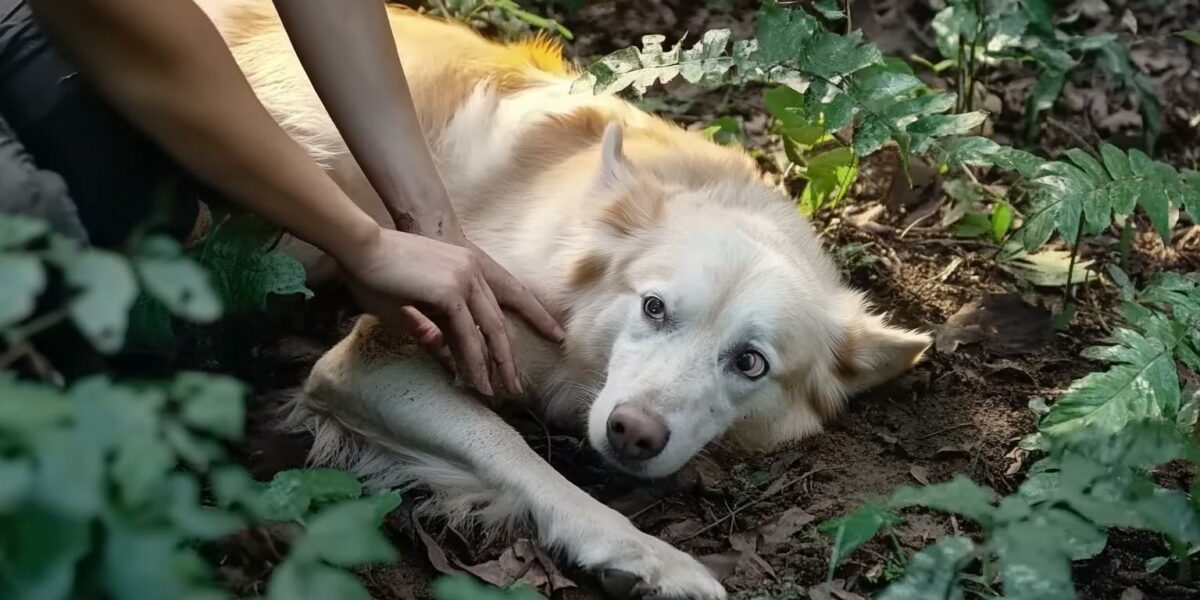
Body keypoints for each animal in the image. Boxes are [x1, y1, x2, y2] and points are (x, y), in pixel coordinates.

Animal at [199, 3, 926, 595]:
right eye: (653, 307)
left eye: (750, 362)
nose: (632, 432)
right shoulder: (372, 360)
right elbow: (510, 448)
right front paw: (645, 555)